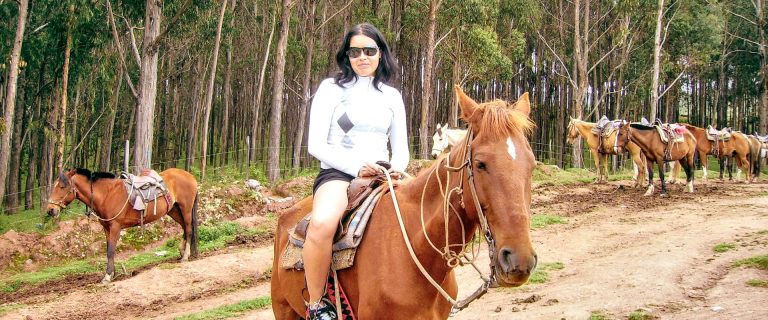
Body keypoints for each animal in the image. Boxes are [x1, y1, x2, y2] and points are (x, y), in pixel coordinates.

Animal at [45, 168, 200, 282]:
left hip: (185, 209)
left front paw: (107, 276)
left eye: (62, 186)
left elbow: (111, 251)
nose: (50, 210)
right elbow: (109, 250)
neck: (106, 195)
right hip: (174, 210)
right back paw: (182, 251)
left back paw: (185, 256)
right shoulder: (106, 228)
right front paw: (112, 273)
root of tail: (189, 176)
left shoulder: (115, 227)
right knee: (184, 228)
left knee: (188, 229)